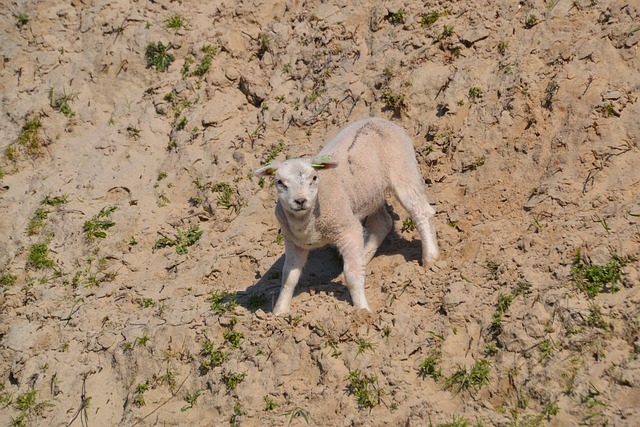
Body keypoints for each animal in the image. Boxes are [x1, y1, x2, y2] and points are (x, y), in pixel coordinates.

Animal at [255, 117, 440, 314]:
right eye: (279, 182)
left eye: (314, 178)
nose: (300, 201)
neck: (307, 224)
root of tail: (379, 119)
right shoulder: (294, 241)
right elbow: (288, 277)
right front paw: (279, 312)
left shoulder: (346, 228)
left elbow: (352, 275)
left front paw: (362, 310)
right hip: (369, 193)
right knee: (382, 223)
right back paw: (364, 258)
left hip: (403, 167)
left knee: (421, 211)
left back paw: (431, 259)